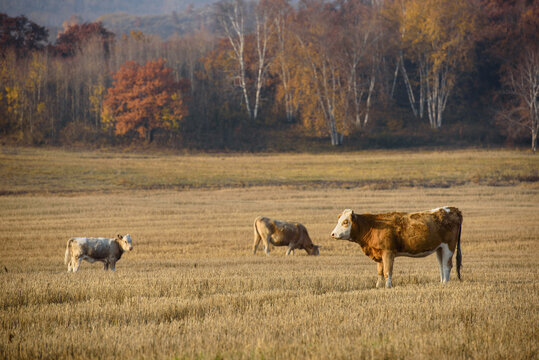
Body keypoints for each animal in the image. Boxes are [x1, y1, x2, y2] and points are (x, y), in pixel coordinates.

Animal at [332, 207, 462, 288]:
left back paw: (445, 284)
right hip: (439, 248)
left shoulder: (388, 252)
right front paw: (378, 286)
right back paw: (442, 282)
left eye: (345, 222)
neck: (372, 225)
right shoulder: (379, 253)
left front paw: (388, 286)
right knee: (441, 266)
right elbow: (380, 272)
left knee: (447, 266)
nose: (333, 234)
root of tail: (453, 209)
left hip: (449, 246)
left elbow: (387, 271)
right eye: (338, 221)